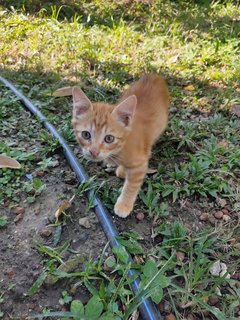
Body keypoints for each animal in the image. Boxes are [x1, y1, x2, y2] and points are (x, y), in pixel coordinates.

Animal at [72, 74, 170, 218]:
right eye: (86, 135)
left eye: (109, 138)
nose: (94, 152)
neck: (119, 149)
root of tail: (153, 75)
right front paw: (121, 169)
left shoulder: (140, 164)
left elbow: (131, 186)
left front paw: (124, 204)